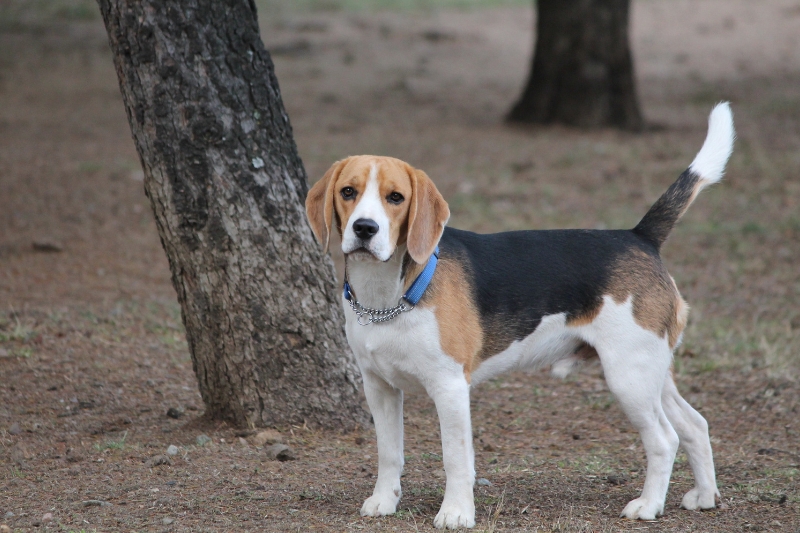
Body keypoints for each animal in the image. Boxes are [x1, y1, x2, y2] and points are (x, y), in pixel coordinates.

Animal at [308, 104, 736, 528]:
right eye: (348, 192)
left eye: (395, 197)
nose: (365, 228)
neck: (388, 295)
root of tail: (639, 236)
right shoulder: (379, 387)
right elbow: (388, 453)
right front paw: (384, 500)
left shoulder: (450, 387)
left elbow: (455, 458)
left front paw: (456, 512)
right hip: (652, 371)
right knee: (695, 425)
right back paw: (704, 496)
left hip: (629, 376)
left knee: (665, 439)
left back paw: (648, 505)